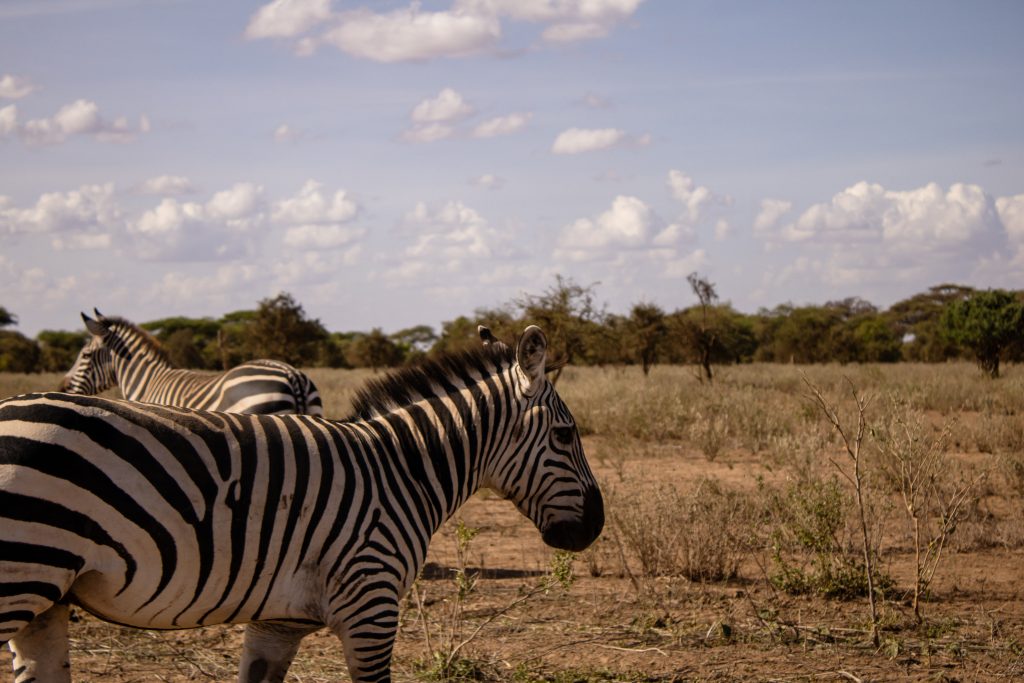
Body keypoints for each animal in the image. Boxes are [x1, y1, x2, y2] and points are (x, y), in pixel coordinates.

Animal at [0, 324, 603, 682]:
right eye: (566, 435)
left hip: (45, 599)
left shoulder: (277, 622)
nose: (595, 527)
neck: (401, 471)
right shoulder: (371, 604)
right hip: (20, 577)